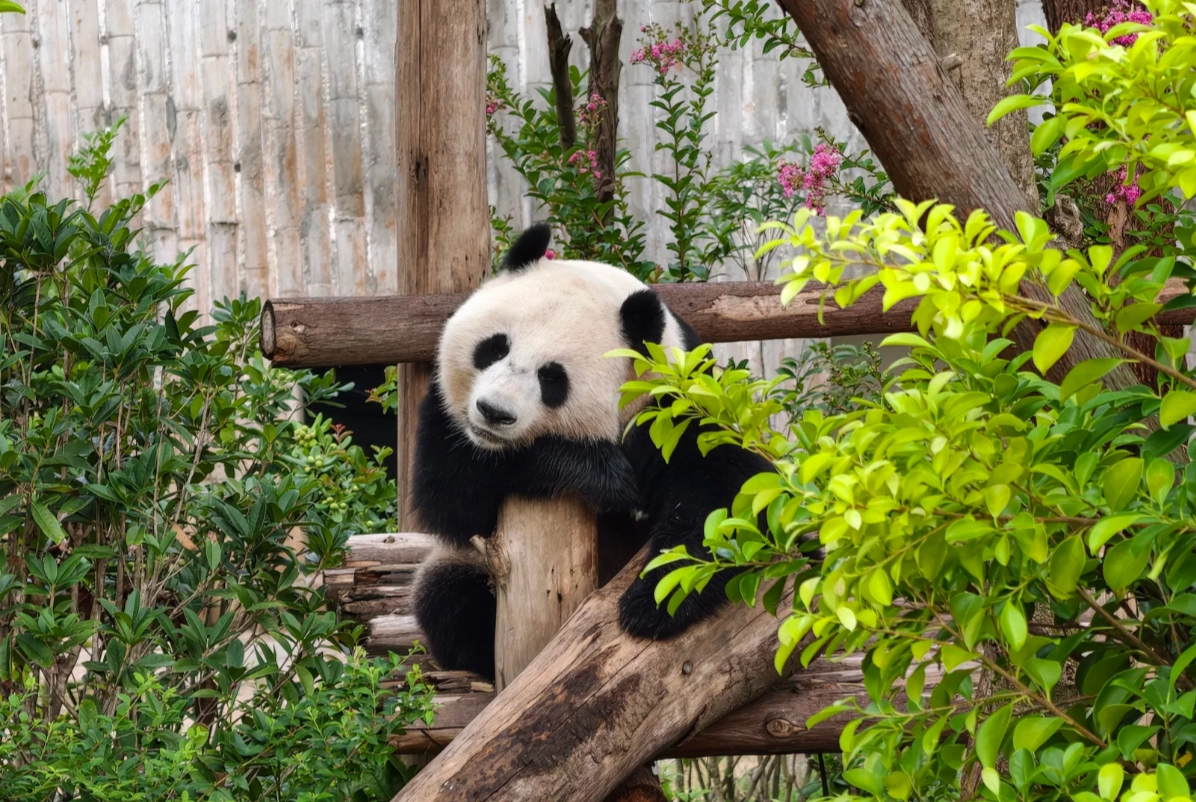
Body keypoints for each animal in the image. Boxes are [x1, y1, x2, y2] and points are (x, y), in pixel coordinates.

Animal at [409, 223, 776, 680]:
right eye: (494, 347)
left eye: (552, 377)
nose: (493, 412)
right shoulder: (448, 417)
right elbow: (449, 495)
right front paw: (599, 475)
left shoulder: (677, 408)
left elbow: (730, 491)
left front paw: (653, 601)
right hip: (460, 565)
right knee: (446, 596)